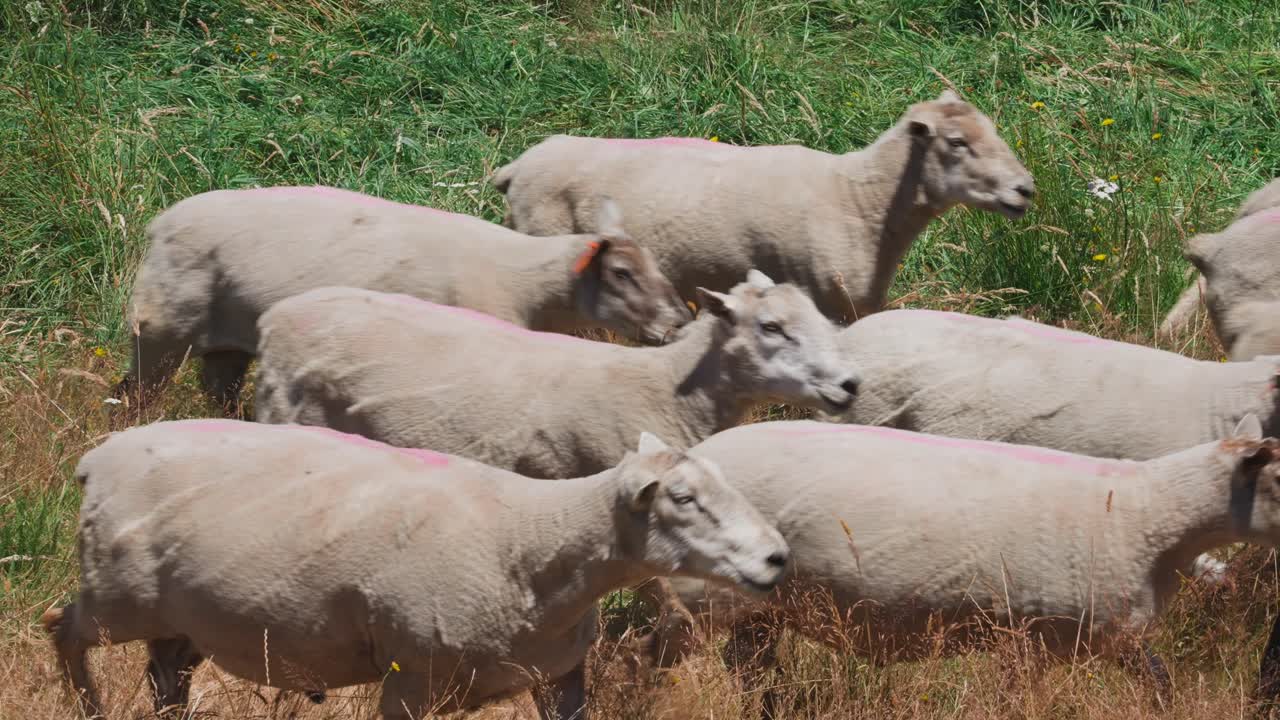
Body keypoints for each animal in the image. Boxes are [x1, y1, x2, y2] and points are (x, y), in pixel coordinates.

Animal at [43, 420, 789, 720]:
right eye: (684, 500)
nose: (777, 556)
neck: (534, 543)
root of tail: (99, 457)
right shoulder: (410, 676)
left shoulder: (559, 675)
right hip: (116, 597)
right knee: (62, 629)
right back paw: (88, 708)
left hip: (182, 620)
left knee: (165, 676)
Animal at [117, 186, 690, 409]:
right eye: (621, 273)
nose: (681, 323)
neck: (528, 284)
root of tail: (159, 225)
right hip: (161, 326)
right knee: (132, 394)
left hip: (226, 343)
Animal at [663, 417, 1280, 710]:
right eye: (1278, 477)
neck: (1150, 515)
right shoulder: (1036, 636)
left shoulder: (1106, 636)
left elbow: (1160, 683)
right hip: (702, 597)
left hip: (758, 609)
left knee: (748, 667)